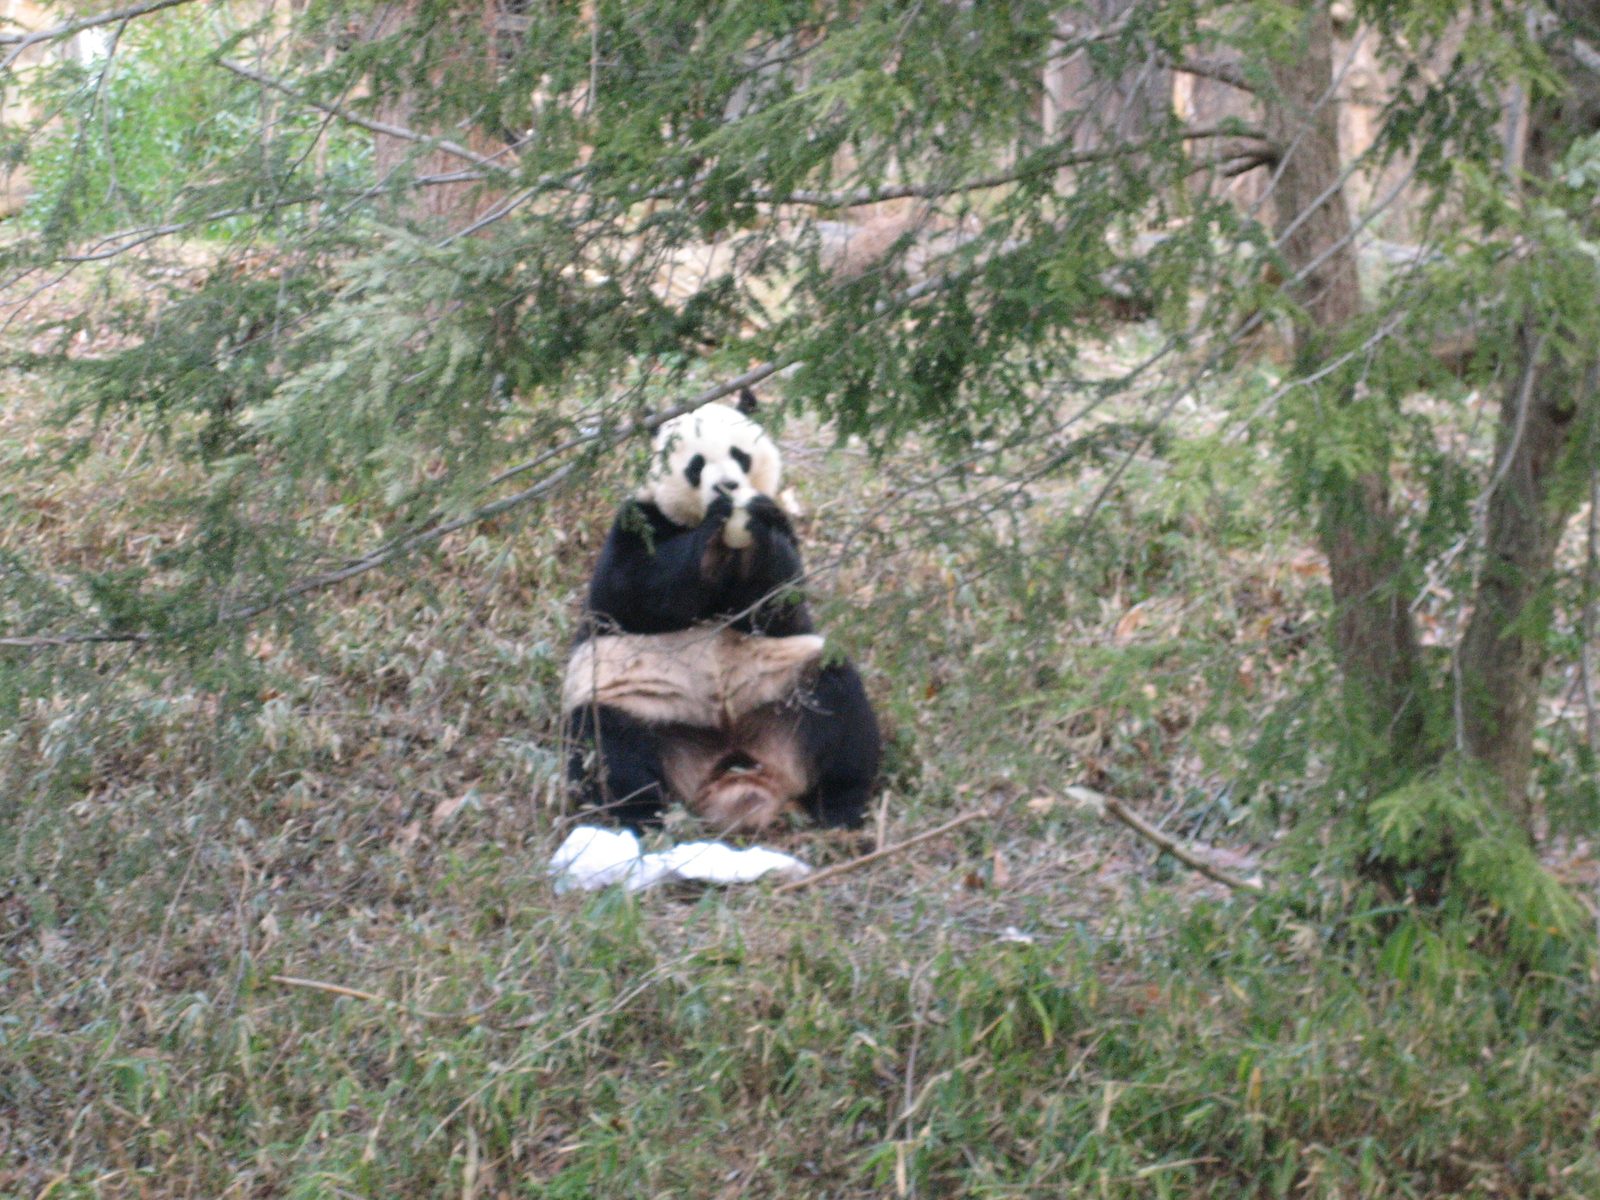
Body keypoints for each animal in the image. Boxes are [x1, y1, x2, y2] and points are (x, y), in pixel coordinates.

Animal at [562, 391, 881, 835]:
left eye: (739, 455)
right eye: (696, 465)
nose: (726, 486)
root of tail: (733, 763)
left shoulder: (785, 537)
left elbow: (777, 603)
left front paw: (756, 522)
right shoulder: (636, 522)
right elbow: (638, 587)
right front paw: (714, 530)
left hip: (784, 685)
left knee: (840, 708)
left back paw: (839, 807)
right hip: (634, 701)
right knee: (610, 749)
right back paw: (637, 819)